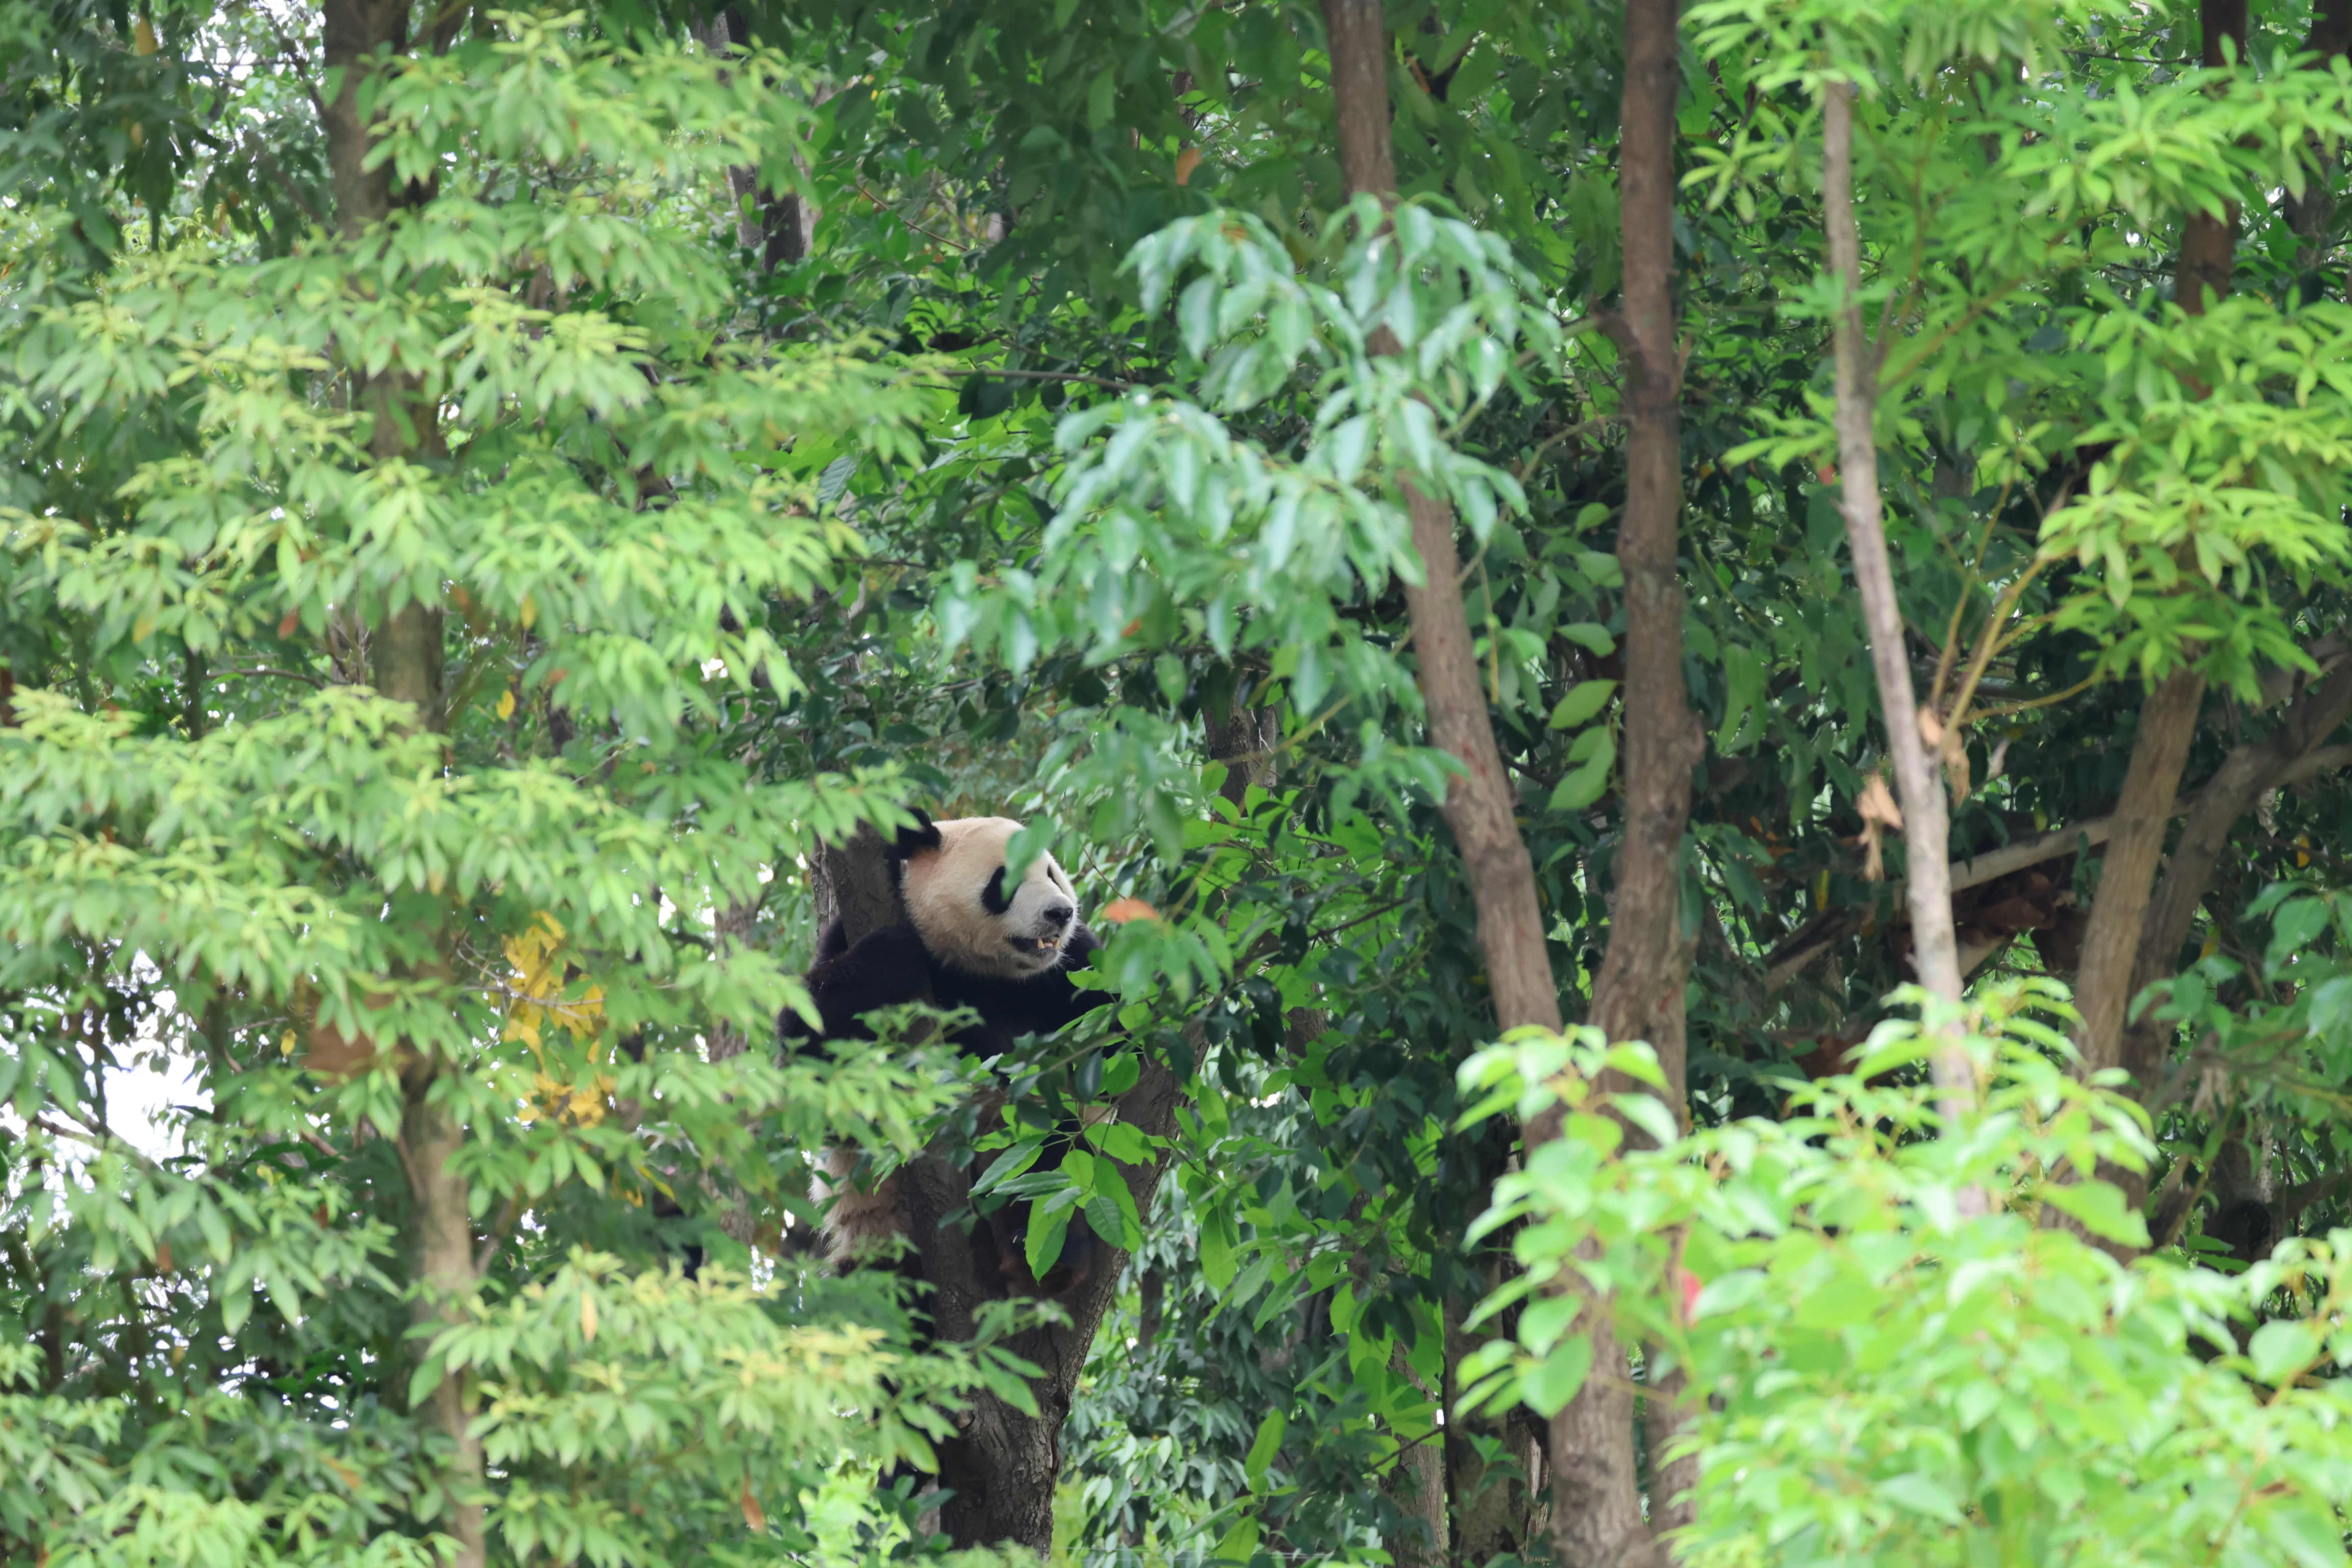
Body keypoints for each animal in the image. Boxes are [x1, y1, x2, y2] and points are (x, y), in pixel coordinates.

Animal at [797, 812, 1111, 1299]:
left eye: (1051, 874)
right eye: (1005, 880)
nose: (1061, 913)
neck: (979, 968)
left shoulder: (1072, 968)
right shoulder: (844, 941)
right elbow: (812, 1058)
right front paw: (892, 955)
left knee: (1046, 1148)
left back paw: (1046, 1252)